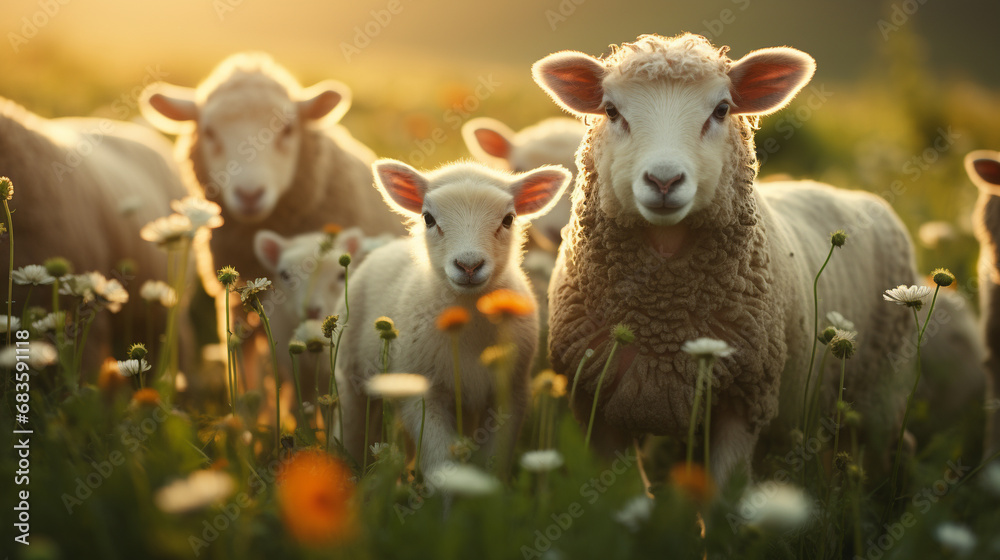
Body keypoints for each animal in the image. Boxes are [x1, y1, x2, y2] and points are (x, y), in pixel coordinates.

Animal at [334, 159, 571, 473]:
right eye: (428, 218)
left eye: (508, 219)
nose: (469, 265)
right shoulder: (422, 394)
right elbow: (441, 463)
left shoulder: (510, 393)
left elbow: (493, 464)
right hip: (352, 375)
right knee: (354, 426)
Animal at [533, 33, 919, 485]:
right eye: (611, 111)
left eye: (721, 110)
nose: (664, 180)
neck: (662, 319)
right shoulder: (594, 406)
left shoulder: (745, 402)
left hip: (884, 389)